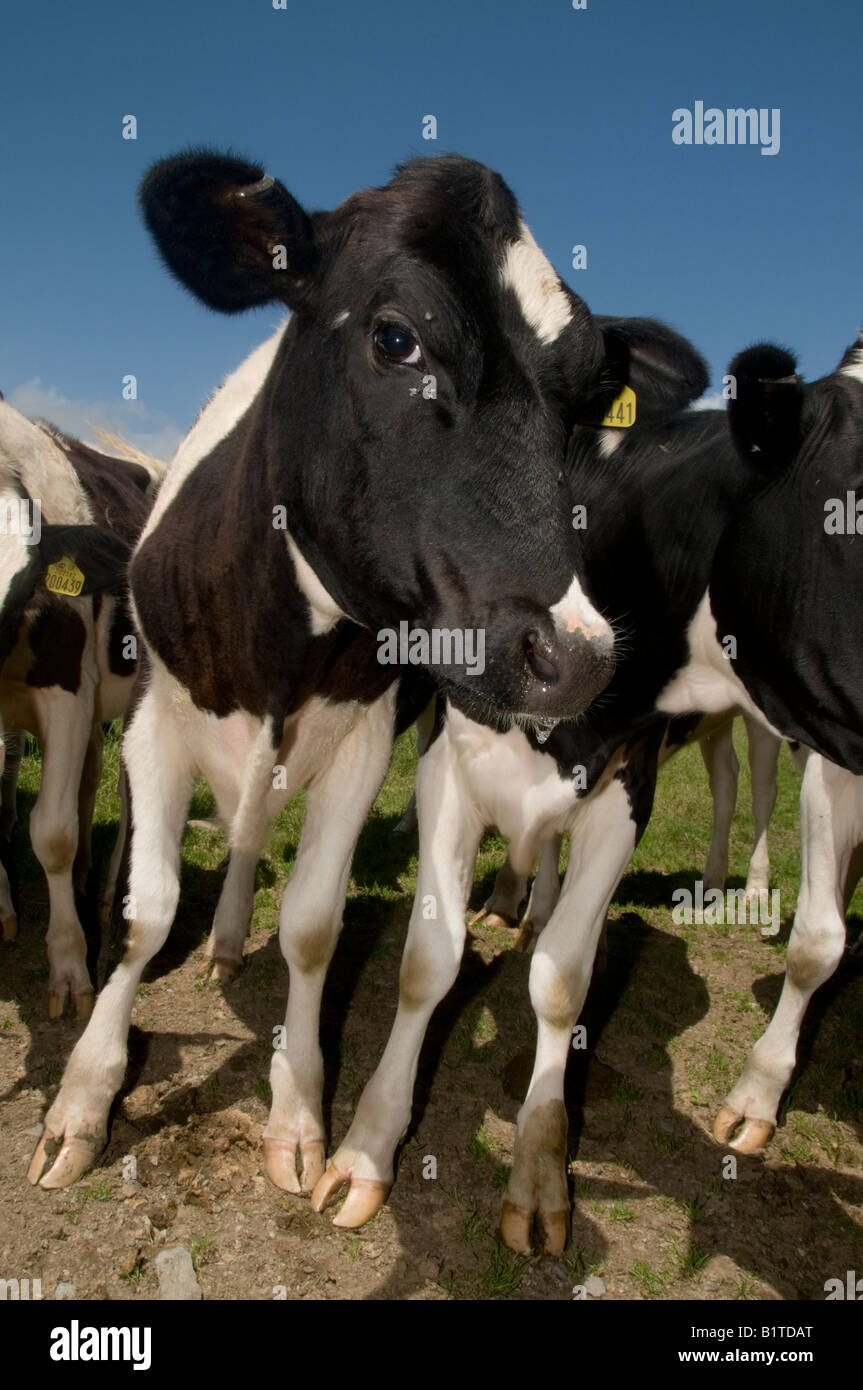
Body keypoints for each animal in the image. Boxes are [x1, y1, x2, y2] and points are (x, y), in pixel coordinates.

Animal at [26, 147, 684, 1191]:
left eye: (586, 401)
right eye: (395, 338)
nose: (575, 658)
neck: (279, 646)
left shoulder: (366, 745)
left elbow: (311, 928)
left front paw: (298, 1109)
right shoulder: (152, 726)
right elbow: (143, 916)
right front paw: (84, 1098)